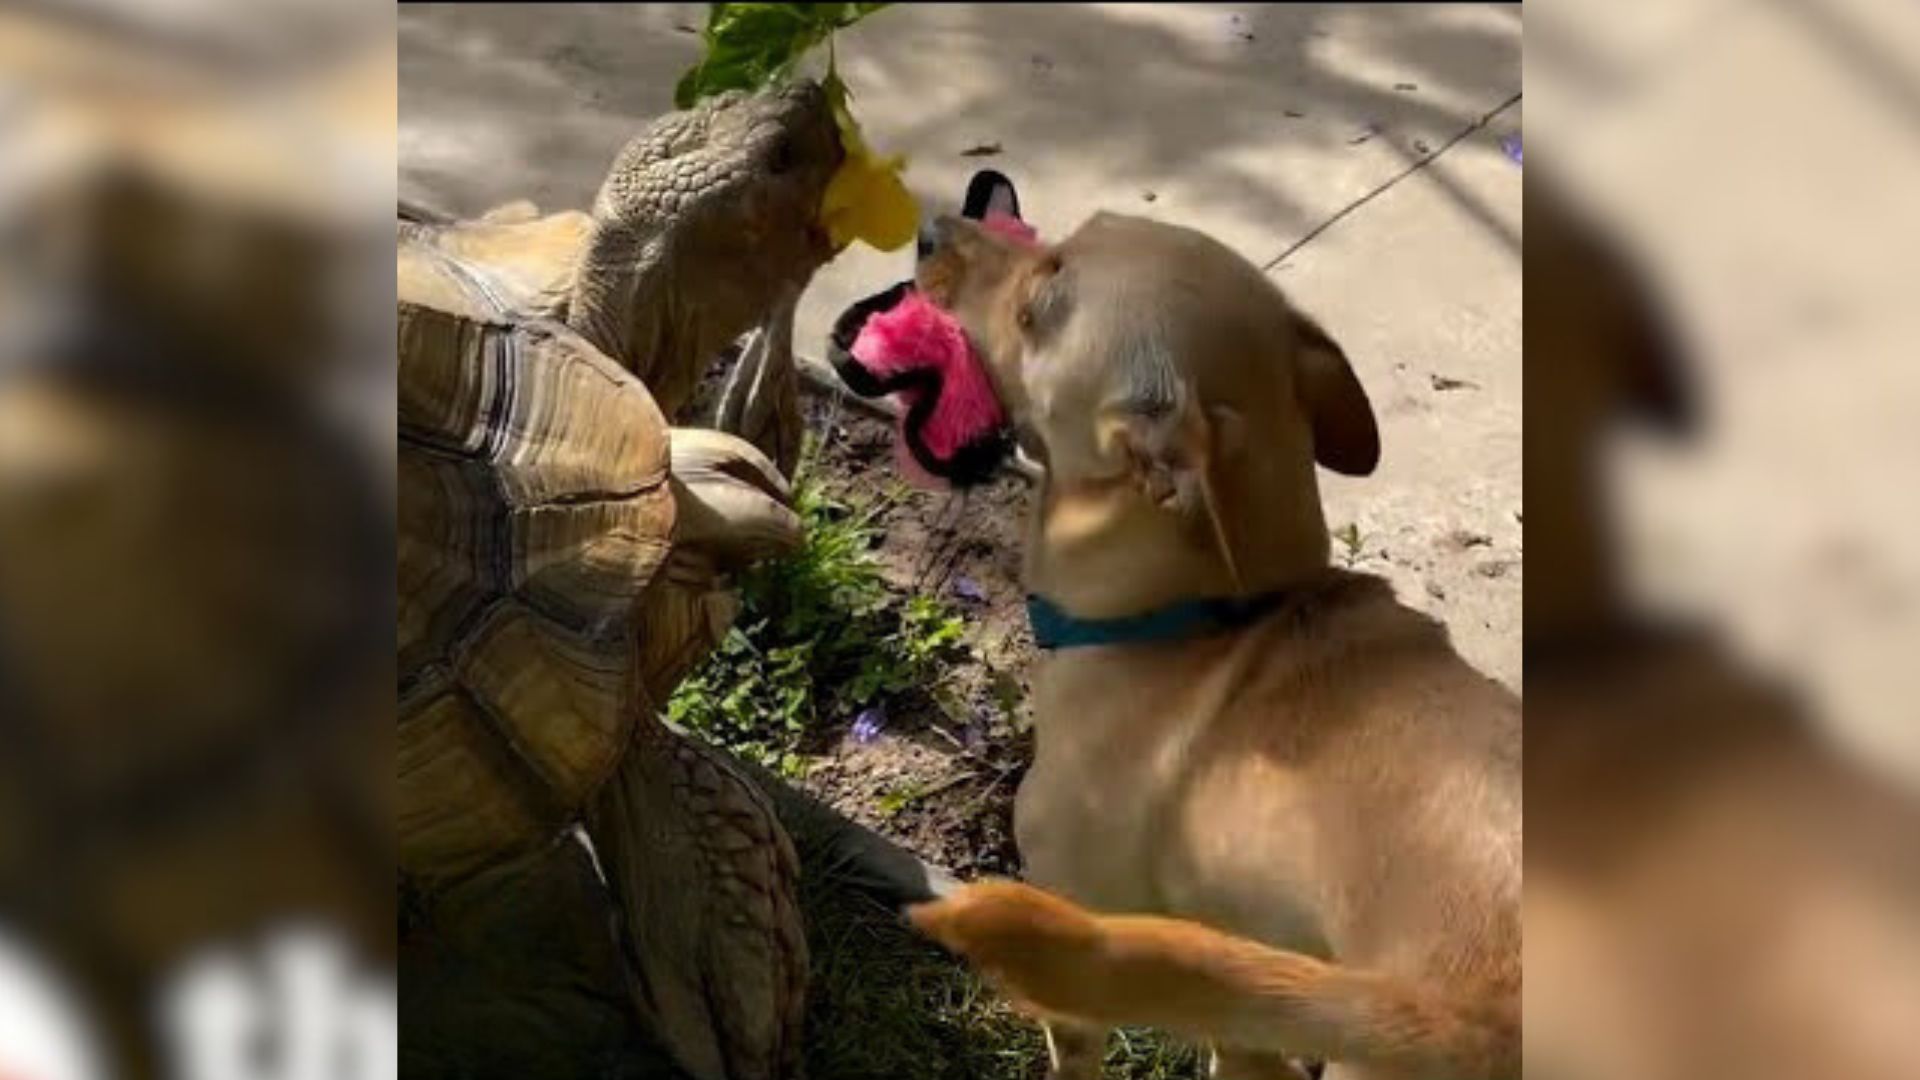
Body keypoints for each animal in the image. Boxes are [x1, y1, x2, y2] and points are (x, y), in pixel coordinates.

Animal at [906, 212, 1520, 1076]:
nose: (929, 229)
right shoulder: (1235, 998)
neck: (1203, 621)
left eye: (1034, 311)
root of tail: (1487, 1014)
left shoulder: (1083, 960)